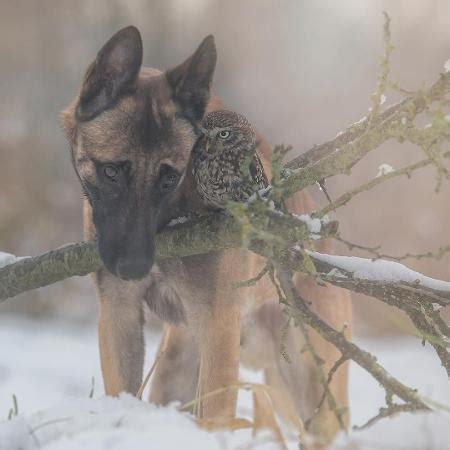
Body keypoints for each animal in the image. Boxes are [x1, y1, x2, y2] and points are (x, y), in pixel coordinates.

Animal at [62, 25, 352, 446]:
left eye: (169, 177)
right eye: (111, 172)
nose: (133, 268)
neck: (174, 213)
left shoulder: (217, 323)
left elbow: (215, 413)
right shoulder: (119, 313)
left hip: (312, 392)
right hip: (178, 371)